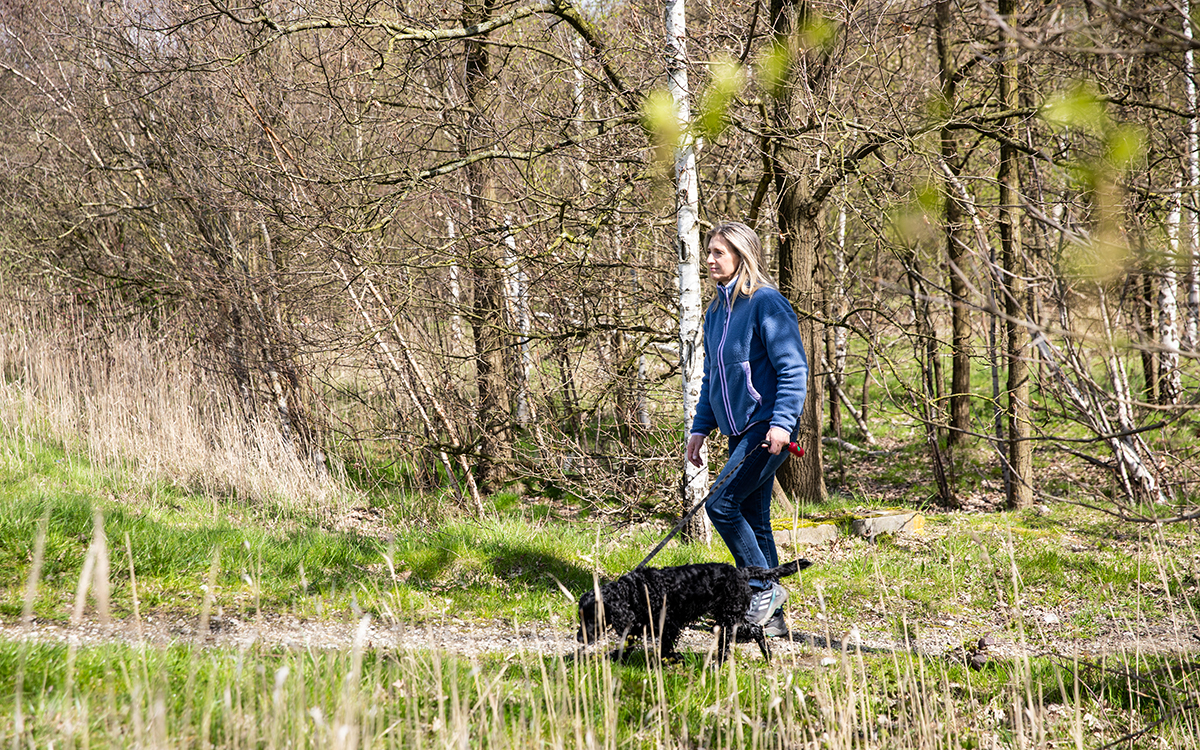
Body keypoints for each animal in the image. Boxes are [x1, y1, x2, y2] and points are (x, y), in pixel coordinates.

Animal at [576, 556, 811, 662]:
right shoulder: (638, 624)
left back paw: (720, 663)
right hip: (729, 617)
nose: (579, 639)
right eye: (581, 617)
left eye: (592, 618)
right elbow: (627, 643)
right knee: (755, 629)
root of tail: (742, 572)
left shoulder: (669, 625)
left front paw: (670, 660)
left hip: (728, 619)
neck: (635, 591)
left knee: (739, 637)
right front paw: (617, 659)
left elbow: (665, 648)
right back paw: (766, 656)